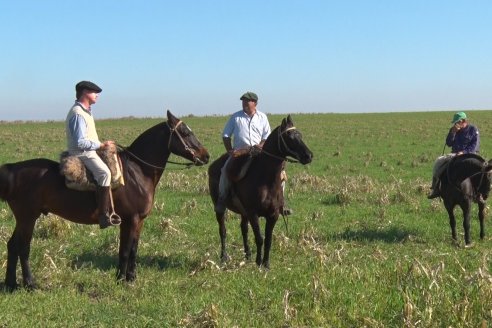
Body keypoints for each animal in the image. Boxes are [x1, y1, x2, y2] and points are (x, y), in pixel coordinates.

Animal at [0, 111, 209, 290]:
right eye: (185, 132)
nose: (205, 156)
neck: (137, 171)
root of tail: (13, 169)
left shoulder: (138, 221)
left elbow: (133, 249)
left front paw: (131, 278)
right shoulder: (130, 219)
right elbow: (124, 250)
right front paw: (121, 280)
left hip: (23, 219)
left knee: (12, 245)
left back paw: (11, 284)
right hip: (28, 218)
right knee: (23, 248)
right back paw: (30, 283)